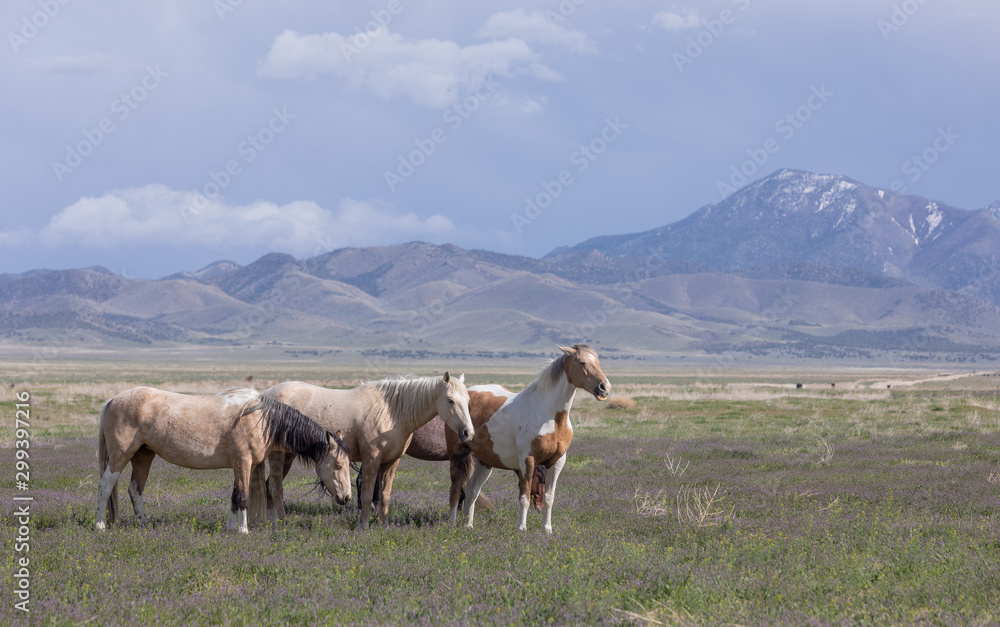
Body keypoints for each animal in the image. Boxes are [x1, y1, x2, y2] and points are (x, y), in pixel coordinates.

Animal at [94, 387, 352, 534]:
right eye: (338, 465)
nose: (346, 498)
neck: (260, 419)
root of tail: (112, 400)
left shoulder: (241, 465)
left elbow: (235, 496)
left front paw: (230, 528)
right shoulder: (243, 462)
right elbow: (244, 497)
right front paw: (243, 531)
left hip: (143, 456)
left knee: (135, 489)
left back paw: (143, 523)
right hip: (120, 456)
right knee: (106, 486)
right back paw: (100, 525)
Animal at [262, 372, 473, 530]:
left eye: (469, 400)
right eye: (450, 400)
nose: (468, 432)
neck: (392, 412)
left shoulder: (391, 461)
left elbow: (384, 495)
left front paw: (384, 525)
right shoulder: (371, 459)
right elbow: (366, 494)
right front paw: (362, 527)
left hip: (288, 457)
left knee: (269, 486)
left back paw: (271, 522)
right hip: (278, 455)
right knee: (276, 487)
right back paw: (282, 523)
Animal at [459, 344, 610, 532]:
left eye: (598, 362)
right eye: (582, 362)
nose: (605, 387)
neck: (550, 418)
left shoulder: (557, 462)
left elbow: (549, 498)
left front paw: (547, 529)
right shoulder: (527, 461)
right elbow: (524, 497)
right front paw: (522, 528)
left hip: (484, 462)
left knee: (472, 490)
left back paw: (468, 525)